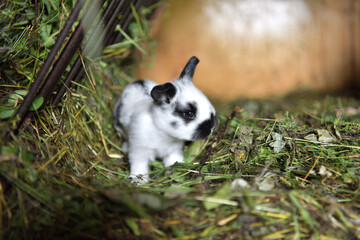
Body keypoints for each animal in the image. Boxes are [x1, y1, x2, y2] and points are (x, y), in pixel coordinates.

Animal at [114, 56, 218, 184]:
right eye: (189, 114)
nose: (212, 126)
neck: (162, 132)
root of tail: (136, 81)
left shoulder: (174, 151)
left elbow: (174, 161)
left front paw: (177, 173)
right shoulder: (139, 151)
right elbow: (139, 166)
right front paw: (138, 181)